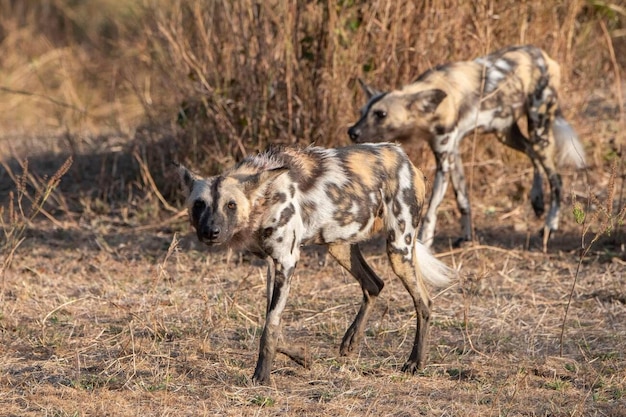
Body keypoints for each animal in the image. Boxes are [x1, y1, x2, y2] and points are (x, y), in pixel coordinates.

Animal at [176, 143, 454, 384]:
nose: (211, 232)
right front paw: (302, 356)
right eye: (199, 205)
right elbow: (272, 324)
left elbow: (270, 327)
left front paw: (261, 376)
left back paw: (415, 362)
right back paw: (351, 341)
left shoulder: (286, 262)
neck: (265, 198)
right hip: (339, 245)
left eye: (231, 205)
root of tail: (406, 158)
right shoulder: (273, 265)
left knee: (424, 303)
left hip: (398, 249)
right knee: (374, 284)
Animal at [346, 44, 584, 250]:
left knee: (557, 179)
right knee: (533, 154)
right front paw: (466, 237)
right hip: (506, 133)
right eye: (361, 112)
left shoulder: (444, 161)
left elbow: (431, 209)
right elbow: (463, 200)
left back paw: (550, 226)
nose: (352, 131)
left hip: (538, 129)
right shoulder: (453, 153)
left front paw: (426, 241)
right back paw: (537, 200)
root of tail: (544, 56)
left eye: (381, 114)